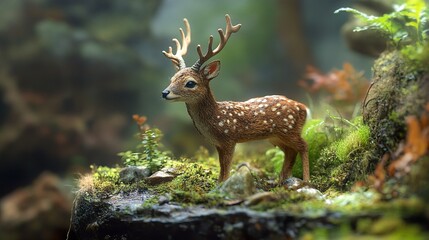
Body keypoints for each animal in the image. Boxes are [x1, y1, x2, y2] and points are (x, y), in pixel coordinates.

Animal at [160, 14, 308, 184]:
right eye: (172, 79)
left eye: (190, 83)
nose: (164, 92)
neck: (215, 118)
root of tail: (303, 108)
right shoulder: (218, 144)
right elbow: (221, 168)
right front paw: (218, 184)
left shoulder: (229, 139)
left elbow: (226, 167)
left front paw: (222, 185)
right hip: (276, 136)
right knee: (291, 151)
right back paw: (281, 180)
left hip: (289, 130)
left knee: (304, 146)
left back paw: (306, 180)